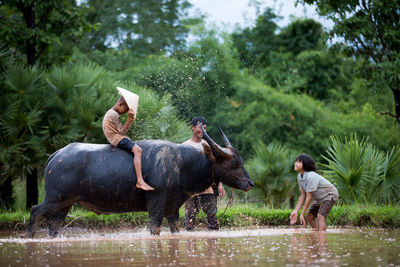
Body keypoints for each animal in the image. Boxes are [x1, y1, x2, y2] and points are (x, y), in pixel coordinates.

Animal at [25, 126, 253, 238]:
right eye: (234, 164)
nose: (250, 183)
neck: (184, 164)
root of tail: (57, 154)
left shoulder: (173, 208)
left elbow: (176, 229)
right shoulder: (156, 204)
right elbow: (154, 229)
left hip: (65, 203)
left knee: (54, 224)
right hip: (54, 199)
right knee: (35, 211)